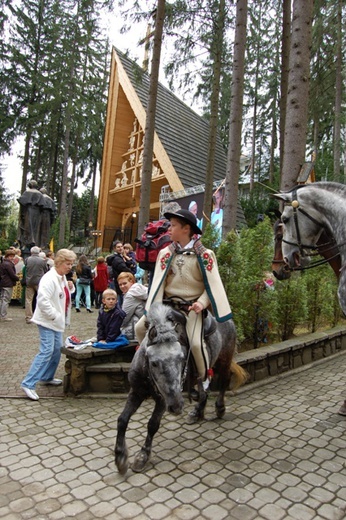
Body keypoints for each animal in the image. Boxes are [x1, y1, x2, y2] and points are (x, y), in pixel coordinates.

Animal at [115, 300, 247, 476]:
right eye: (154, 362)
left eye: (182, 358)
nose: (177, 406)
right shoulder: (136, 392)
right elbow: (122, 420)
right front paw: (120, 457)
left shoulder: (163, 400)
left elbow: (152, 424)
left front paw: (142, 456)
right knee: (204, 389)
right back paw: (196, 411)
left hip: (224, 360)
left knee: (223, 381)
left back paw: (219, 408)